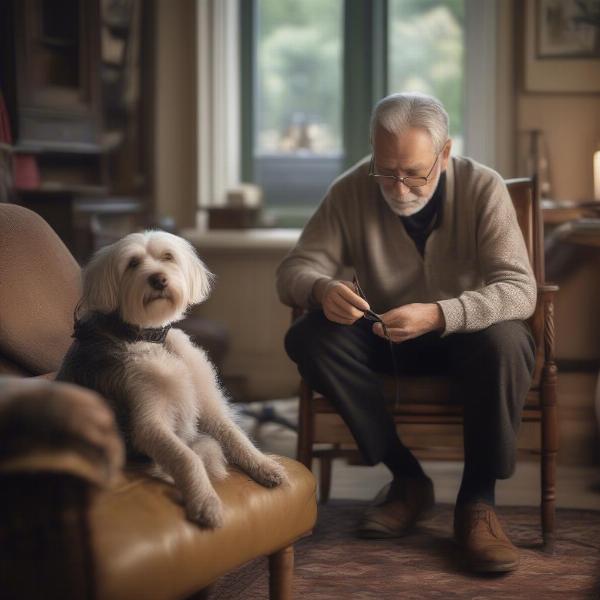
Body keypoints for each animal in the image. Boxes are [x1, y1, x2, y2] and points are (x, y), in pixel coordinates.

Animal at [57, 232, 288, 528]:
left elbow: (234, 435)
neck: (151, 338)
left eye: (168, 257)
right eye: (132, 263)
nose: (159, 279)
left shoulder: (208, 407)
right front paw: (206, 502)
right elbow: (187, 457)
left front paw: (264, 466)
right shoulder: (149, 423)